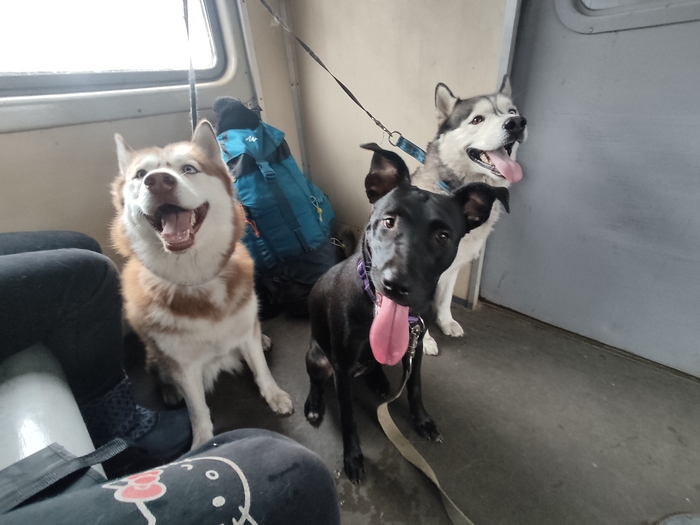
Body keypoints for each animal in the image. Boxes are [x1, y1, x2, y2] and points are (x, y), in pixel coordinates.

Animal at [110, 120, 293, 450]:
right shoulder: (184, 365)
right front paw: (202, 443)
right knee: (157, 368)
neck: (197, 279)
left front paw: (274, 395)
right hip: (156, 352)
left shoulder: (244, 329)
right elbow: (197, 409)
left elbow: (261, 369)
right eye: (140, 175)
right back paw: (169, 390)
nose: (158, 181)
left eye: (189, 169)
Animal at [303, 143, 509, 483]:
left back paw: (378, 381)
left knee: (374, 368)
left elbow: (415, 387)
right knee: (316, 381)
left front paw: (422, 421)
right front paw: (353, 457)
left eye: (443, 236)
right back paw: (314, 404)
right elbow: (348, 417)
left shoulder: (416, 350)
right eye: (389, 222)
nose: (395, 285)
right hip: (318, 358)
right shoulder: (341, 369)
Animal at [412, 76, 527, 355]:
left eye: (511, 111)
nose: (517, 123)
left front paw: (446, 322)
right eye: (477, 119)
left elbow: (444, 300)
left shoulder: (454, 266)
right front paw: (425, 340)